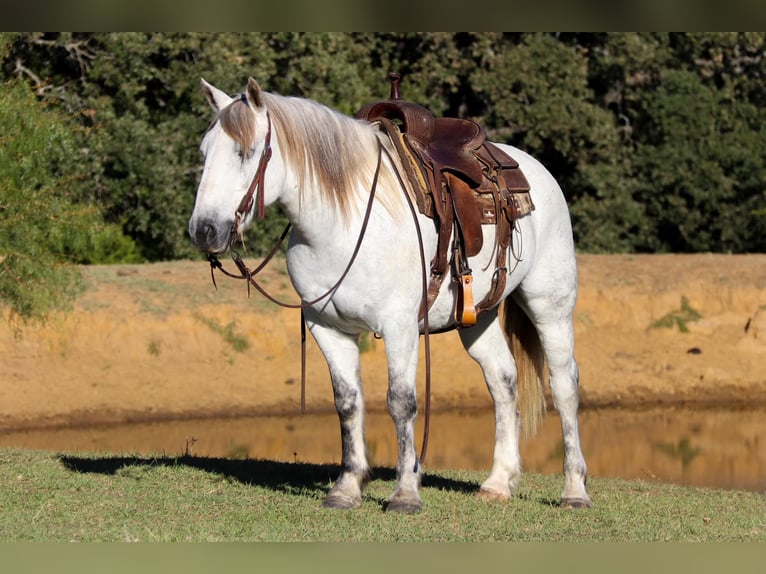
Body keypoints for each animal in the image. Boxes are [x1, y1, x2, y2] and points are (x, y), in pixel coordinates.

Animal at [188, 76, 592, 512]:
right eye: (204, 152)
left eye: (246, 152)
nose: (203, 230)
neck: (342, 224)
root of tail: (533, 169)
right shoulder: (326, 327)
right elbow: (347, 402)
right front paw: (347, 487)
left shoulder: (399, 326)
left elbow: (401, 401)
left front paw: (405, 493)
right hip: (476, 319)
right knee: (503, 381)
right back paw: (498, 482)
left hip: (550, 306)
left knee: (564, 386)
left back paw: (575, 490)